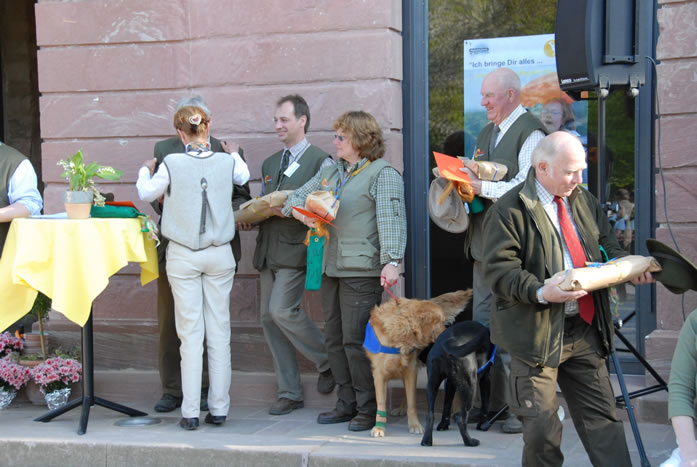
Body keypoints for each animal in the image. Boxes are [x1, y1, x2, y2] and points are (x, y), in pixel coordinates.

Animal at [364, 289, 472, 438]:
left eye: (444, 322)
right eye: (440, 322)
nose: (451, 336)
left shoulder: (411, 370)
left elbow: (412, 403)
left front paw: (414, 425)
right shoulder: (380, 374)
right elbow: (381, 402)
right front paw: (379, 427)